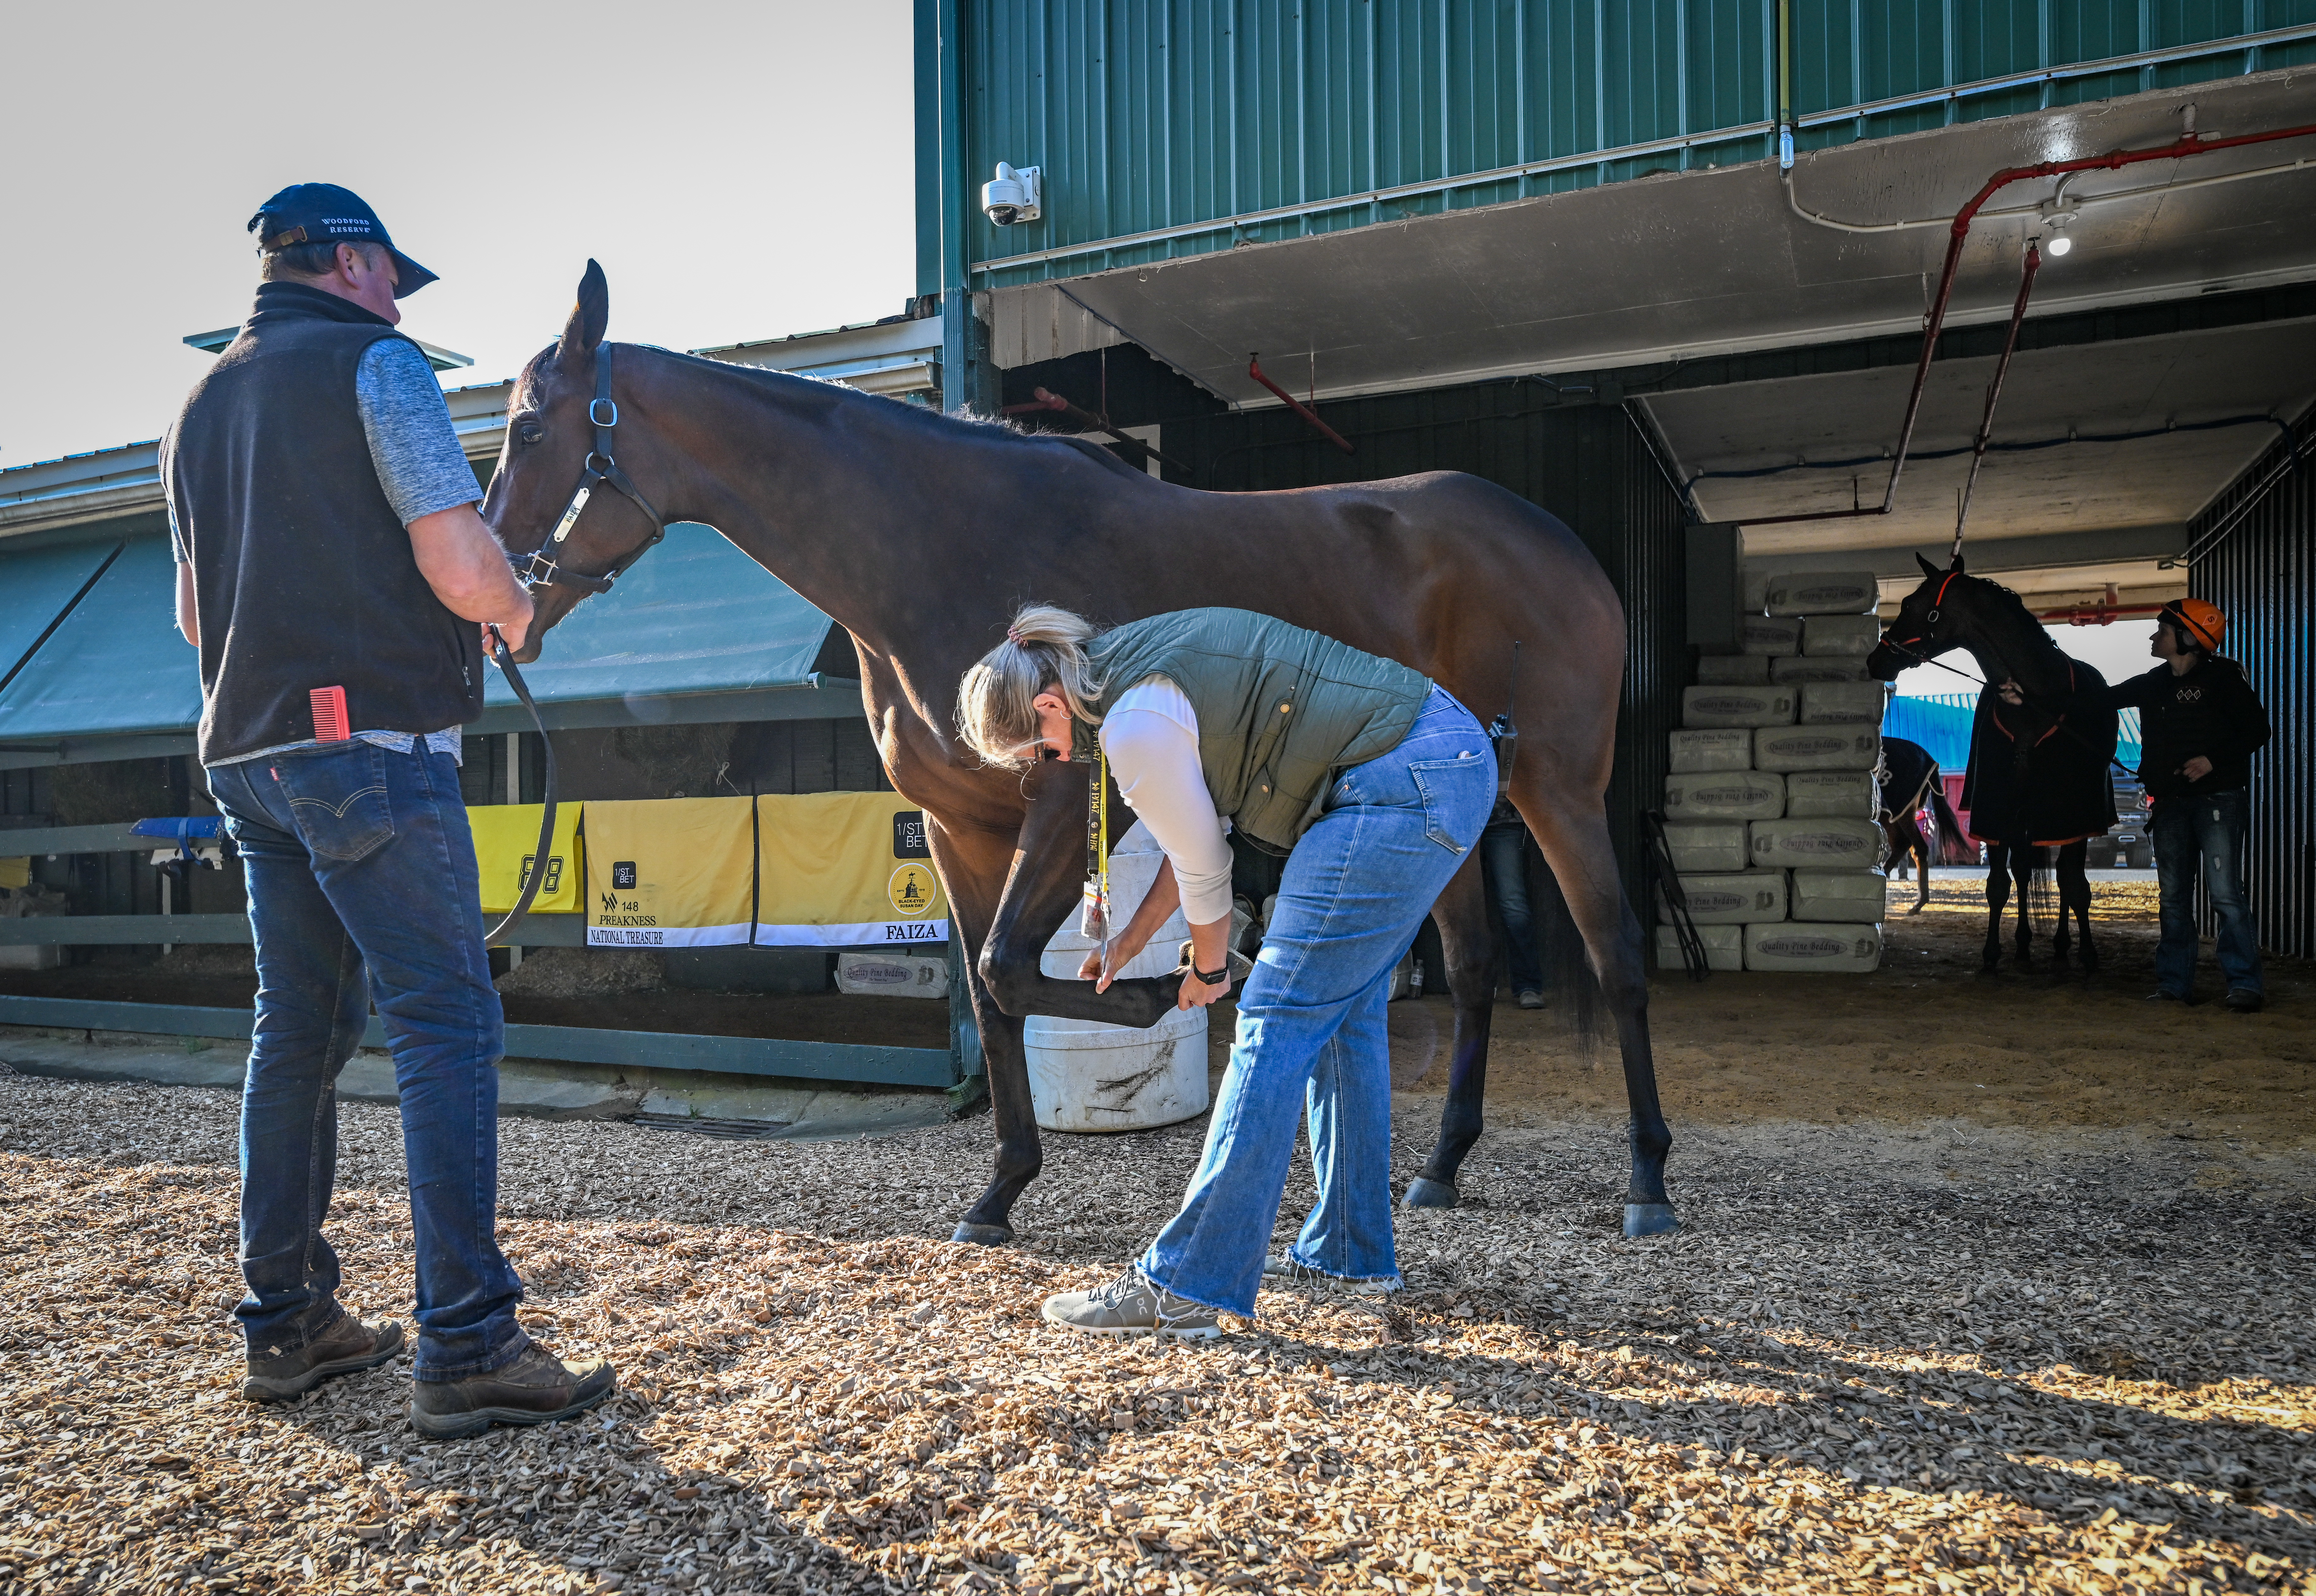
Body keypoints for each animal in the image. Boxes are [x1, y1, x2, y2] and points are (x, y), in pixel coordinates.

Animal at [479, 267, 1677, 1242]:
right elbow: (989, 985)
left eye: (530, 429)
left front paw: (1169, 1003)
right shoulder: (962, 826)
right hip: (1452, 808)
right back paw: (1439, 1168)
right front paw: (999, 1192)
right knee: (1473, 969)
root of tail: (1557, 543)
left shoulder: (1067, 797)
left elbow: (1017, 966)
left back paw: (1647, 1184)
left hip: (1556, 787)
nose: (499, 608)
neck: (940, 554)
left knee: (1617, 956)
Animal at [1871, 736, 1964, 908]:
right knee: (1907, 845)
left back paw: (1919, 902)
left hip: (1902, 815)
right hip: (1894, 818)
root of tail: (1929, 759)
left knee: (1917, 847)